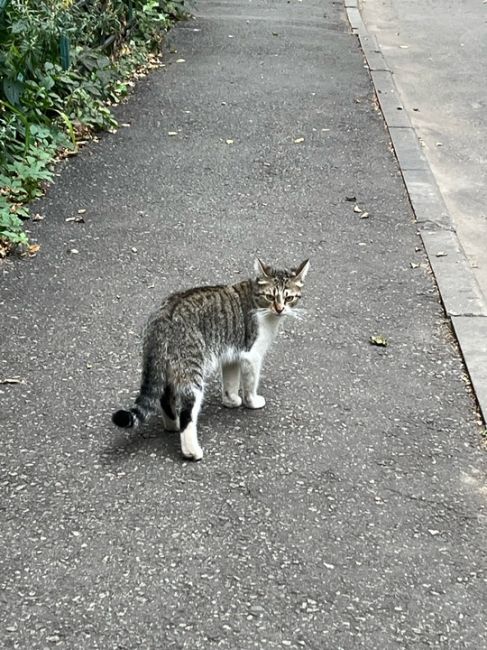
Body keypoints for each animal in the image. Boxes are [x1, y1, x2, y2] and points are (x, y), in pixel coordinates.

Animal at [112, 256, 310, 458]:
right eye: (270, 296)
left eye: (289, 297)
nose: (280, 309)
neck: (260, 305)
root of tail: (163, 315)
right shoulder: (251, 355)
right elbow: (250, 384)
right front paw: (252, 401)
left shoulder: (231, 354)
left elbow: (230, 382)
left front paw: (231, 400)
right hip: (191, 369)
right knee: (187, 413)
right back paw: (191, 451)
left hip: (169, 365)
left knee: (165, 397)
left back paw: (172, 425)